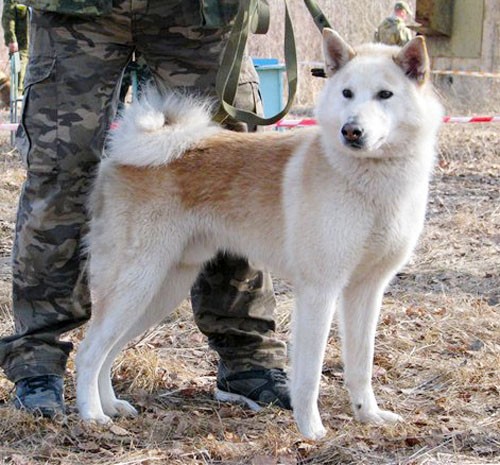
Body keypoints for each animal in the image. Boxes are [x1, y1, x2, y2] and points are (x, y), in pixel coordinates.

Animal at [76, 29, 443, 440]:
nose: (351, 130)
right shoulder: (319, 291)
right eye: (347, 93)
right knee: (88, 352)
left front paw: (368, 415)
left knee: (107, 351)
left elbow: (361, 365)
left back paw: (110, 404)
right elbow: (309, 374)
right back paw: (92, 415)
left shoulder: (366, 291)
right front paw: (311, 429)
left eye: (385, 94)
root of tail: (120, 155)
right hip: (136, 284)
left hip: (158, 291)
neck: (370, 180)